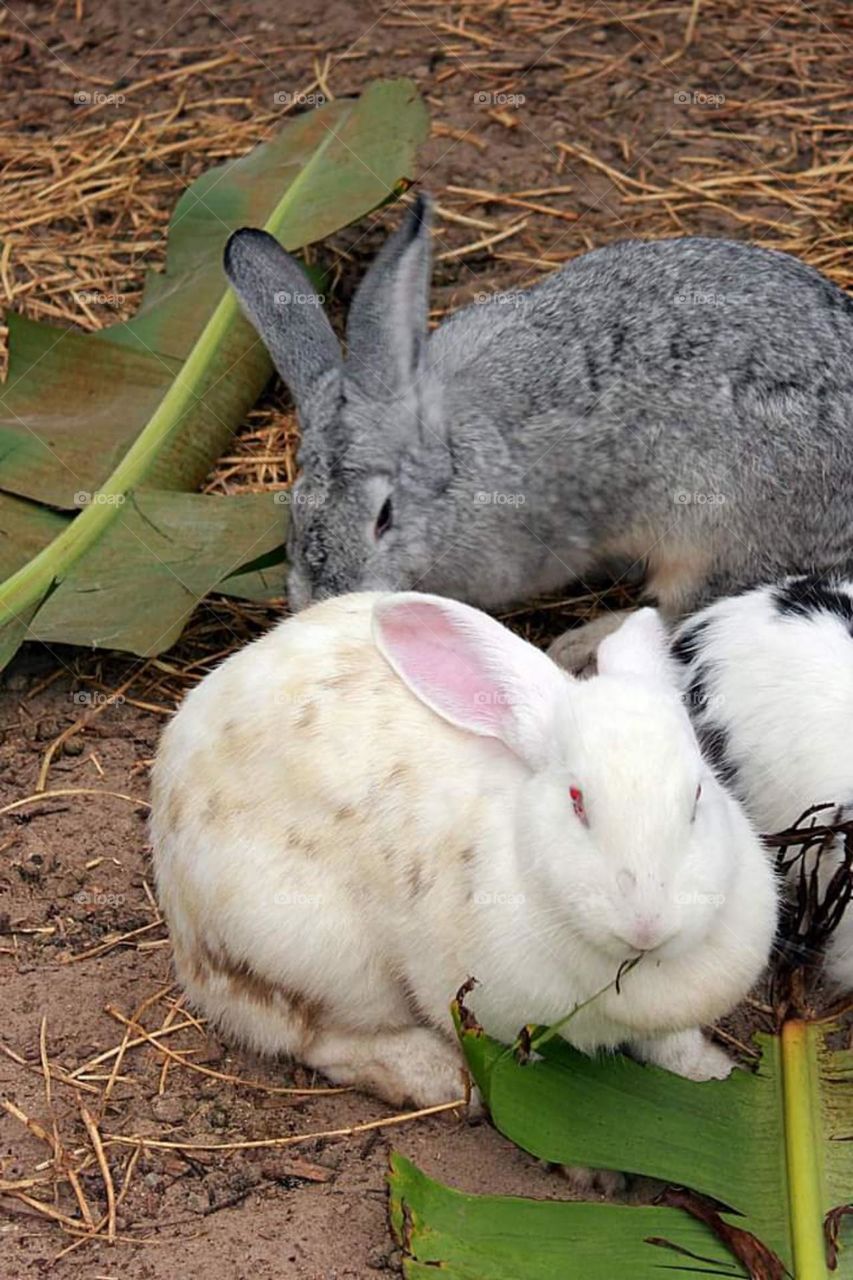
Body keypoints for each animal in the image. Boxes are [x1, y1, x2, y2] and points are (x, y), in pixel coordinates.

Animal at [151, 591, 777, 1109]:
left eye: (698, 794)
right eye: (577, 800)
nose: (647, 925)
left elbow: (674, 1045)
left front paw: (713, 1072)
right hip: (321, 955)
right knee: (321, 1040)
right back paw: (438, 1078)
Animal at [224, 194, 853, 667]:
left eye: (384, 517)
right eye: (294, 508)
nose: (325, 598)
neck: (459, 467)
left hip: (718, 532)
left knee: (682, 607)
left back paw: (581, 642)